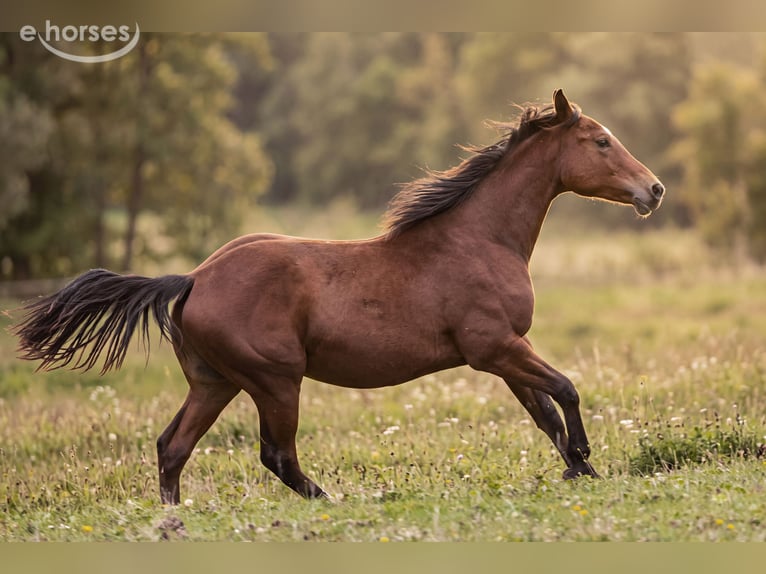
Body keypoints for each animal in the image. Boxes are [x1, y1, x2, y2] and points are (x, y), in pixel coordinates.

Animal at [14, 89, 665, 505]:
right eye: (600, 141)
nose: (653, 189)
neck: (479, 239)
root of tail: (195, 278)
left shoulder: (504, 353)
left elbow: (544, 414)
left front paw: (583, 471)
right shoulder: (496, 348)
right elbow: (565, 390)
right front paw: (586, 458)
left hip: (215, 382)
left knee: (172, 447)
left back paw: (173, 518)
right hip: (275, 381)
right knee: (276, 455)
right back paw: (332, 500)